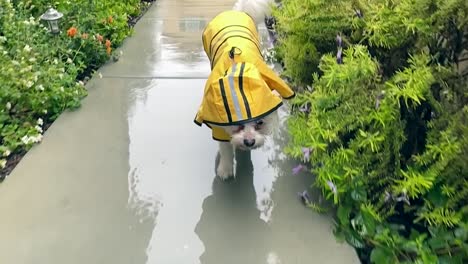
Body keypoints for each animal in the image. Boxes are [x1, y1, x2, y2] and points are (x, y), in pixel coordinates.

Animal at [193, 0, 294, 179]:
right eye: (238, 124)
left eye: (260, 123)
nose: (249, 142)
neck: (240, 71)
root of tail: (238, 11)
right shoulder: (219, 126)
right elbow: (225, 149)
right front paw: (225, 169)